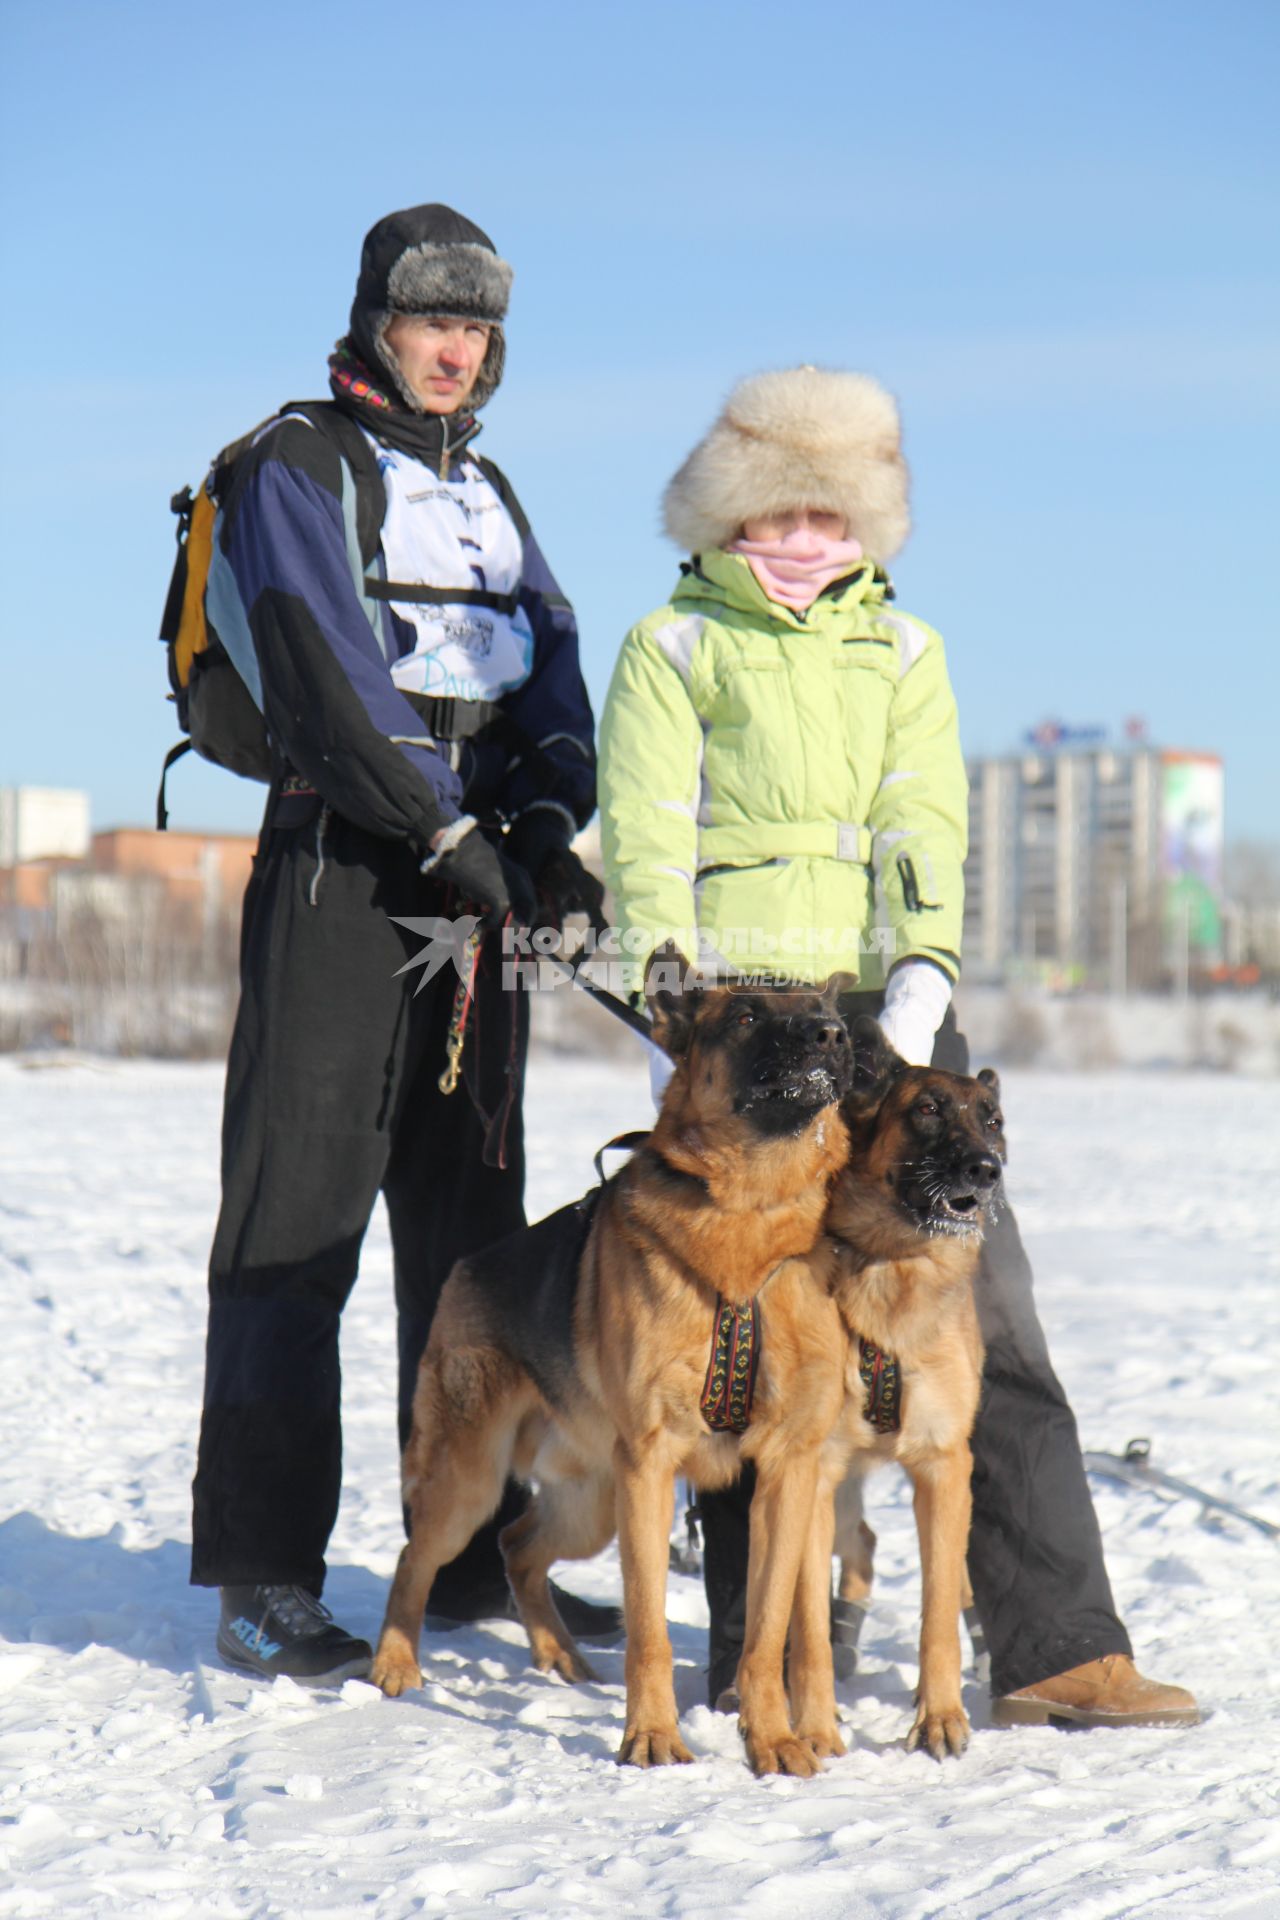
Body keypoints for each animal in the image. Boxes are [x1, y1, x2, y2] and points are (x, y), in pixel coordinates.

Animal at [370, 952, 852, 1774]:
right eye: (746, 1017)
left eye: (818, 1012)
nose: (830, 1034)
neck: (748, 1215)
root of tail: (467, 1268)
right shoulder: (651, 1468)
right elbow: (650, 1628)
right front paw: (652, 1737)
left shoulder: (786, 1474)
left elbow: (766, 1635)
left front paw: (773, 1741)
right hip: (478, 1483)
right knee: (416, 1557)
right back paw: (395, 1666)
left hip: (590, 1504)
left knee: (518, 1547)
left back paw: (558, 1655)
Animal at [786, 1029, 1005, 1758]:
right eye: (927, 1109)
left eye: (993, 1120)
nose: (988, 1169)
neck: (894, 1264)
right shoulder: (816, 1470)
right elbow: (804, 1622)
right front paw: (815, 1727)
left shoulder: (942, 1464)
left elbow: (936, 1612)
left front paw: (939, 1718)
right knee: (858, 1546)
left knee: (948, 1576)